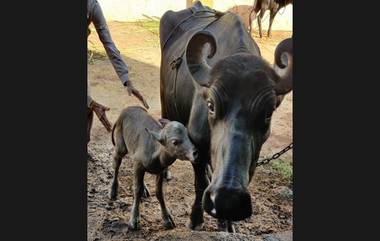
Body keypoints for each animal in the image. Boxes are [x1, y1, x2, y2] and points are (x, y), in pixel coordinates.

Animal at [159, 0, 292, 233]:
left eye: (268, 114)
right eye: (210, 106)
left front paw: (226, 223)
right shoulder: (196, 145)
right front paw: (195, 219)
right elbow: (200, 183)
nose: (227, 200)